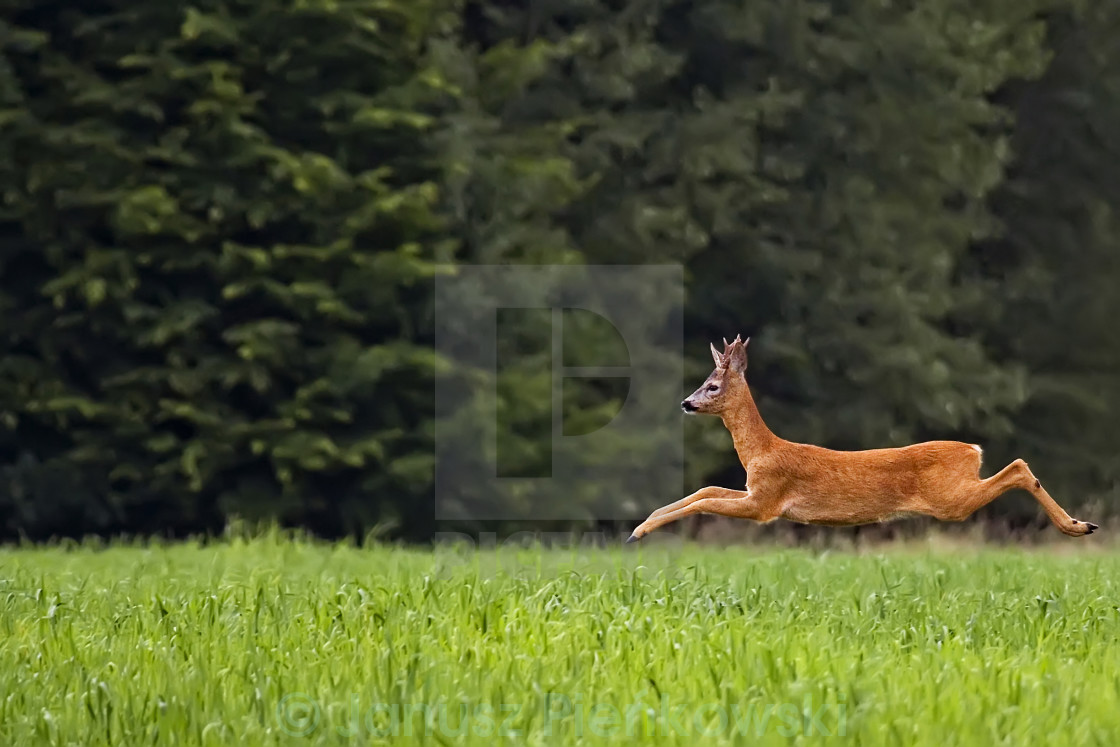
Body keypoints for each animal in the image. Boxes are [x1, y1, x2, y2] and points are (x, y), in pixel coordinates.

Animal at [627, 335, 1097, 539]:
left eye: (712, 386)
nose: (686, 403)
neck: (761, 451)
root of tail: (971, 449)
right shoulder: (754, 492)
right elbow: (704, 490)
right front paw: (643, 524)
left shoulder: (766, 502)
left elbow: (704, 501)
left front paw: (640, 532)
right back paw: (1079, 524)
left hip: (950, 499)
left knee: (1017, 467)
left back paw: (1078, 526)